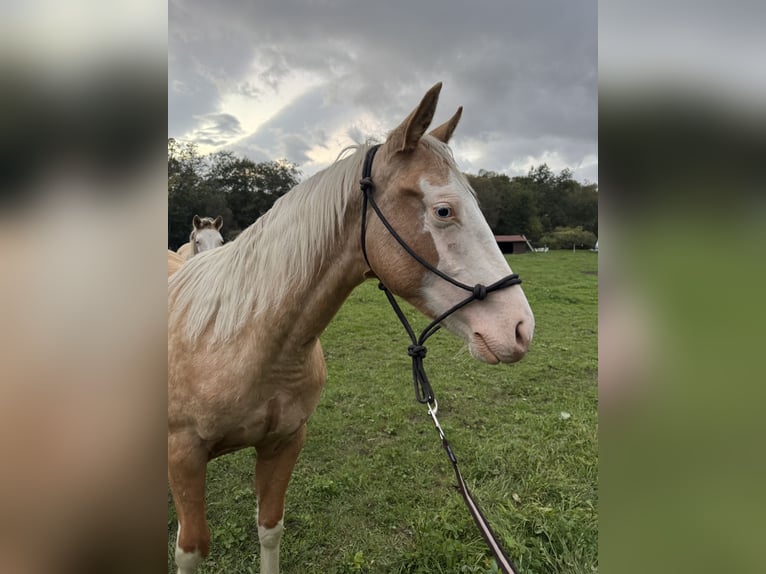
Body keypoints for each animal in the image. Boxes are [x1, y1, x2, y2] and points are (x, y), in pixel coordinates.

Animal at [168, 82, 535, 574]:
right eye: (443, 211)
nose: (519, 328)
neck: (237, 338)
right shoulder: (184, 457)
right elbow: (190, 549)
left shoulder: (284, 443)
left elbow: (269, 527)